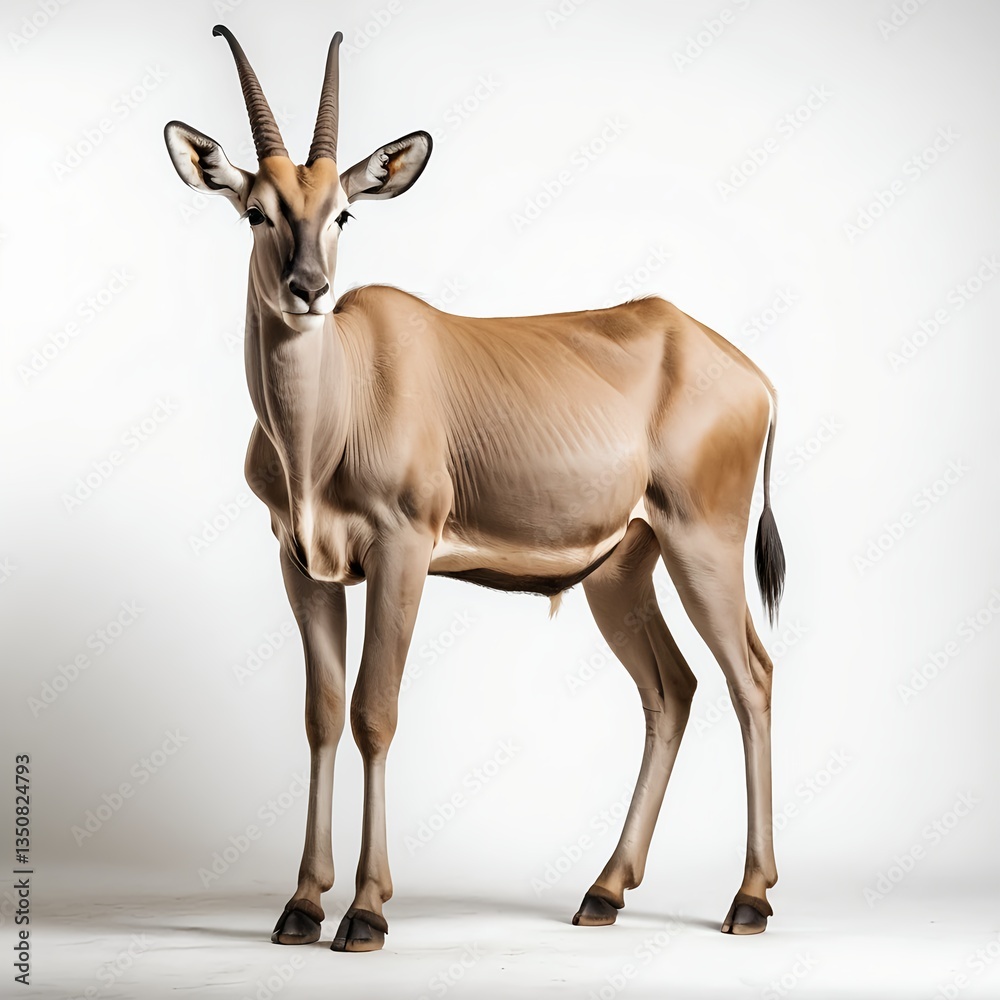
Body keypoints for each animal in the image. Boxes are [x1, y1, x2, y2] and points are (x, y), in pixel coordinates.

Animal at [165, 25, 787, 952]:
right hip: (621, 572)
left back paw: (748, 899)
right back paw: (602, 892)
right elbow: (320, 713)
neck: (339, 401)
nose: (308, 289)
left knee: (751, 677)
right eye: (256, 210)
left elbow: (374, 710)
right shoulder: (300, 563)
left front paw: (366, 911)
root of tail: (750, 375)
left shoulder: (402, 551)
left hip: (701, 547)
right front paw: (301, 905)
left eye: (342, 211)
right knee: (672, 689)